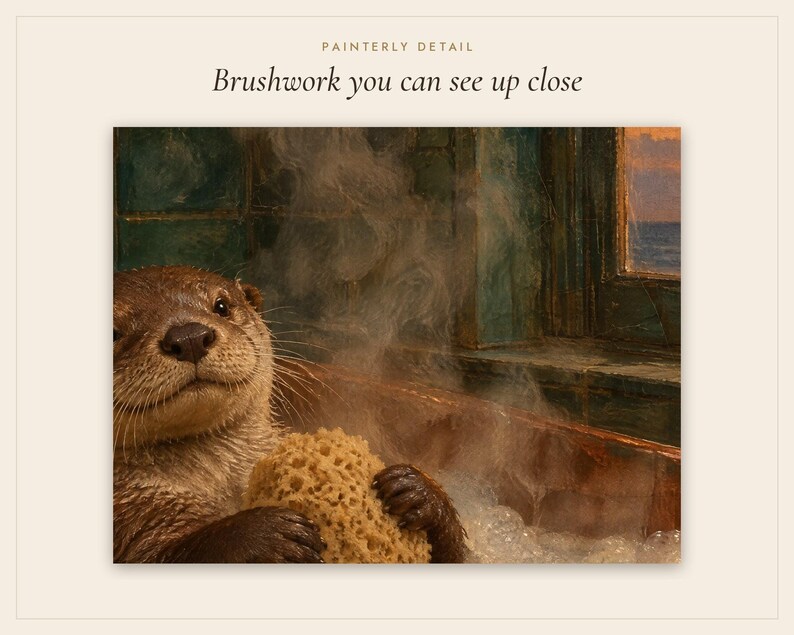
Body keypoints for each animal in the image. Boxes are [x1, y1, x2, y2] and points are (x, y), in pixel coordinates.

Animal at [113, 265, 467, 563]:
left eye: (221, 306)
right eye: (114, 332)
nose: (188, 337)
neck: (222, 484)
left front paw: (419, 493)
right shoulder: (133, 519)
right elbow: (166, 553)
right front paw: (262, 534)